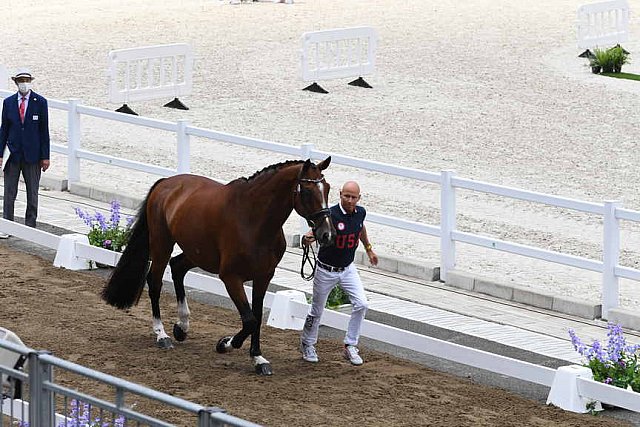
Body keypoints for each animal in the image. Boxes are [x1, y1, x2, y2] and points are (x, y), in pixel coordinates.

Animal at [100, 158, 336, 374]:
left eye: (327, 189)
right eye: (307, 191)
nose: (327, 234)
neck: (254, 220)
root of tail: (166, 182)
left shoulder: (264, 276)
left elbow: (257, 317)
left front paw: (258, 358)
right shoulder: (231, 277)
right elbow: (249, 320)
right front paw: (225, 344)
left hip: (197, 253)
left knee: (177, 268)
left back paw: (182, 327)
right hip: (161, 244)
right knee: (155, 281)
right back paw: (162, 334)